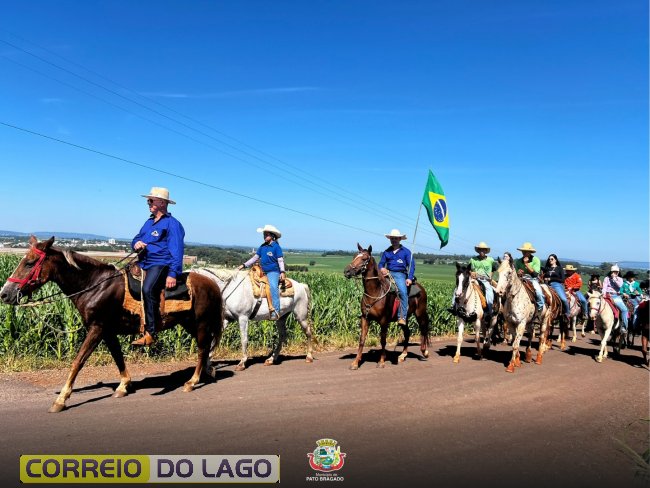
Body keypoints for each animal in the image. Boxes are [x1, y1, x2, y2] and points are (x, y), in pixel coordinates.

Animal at [0, 236, 223, 413]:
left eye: (30, 263)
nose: (5, 293)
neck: (94, 286)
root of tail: (212, 283)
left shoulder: (97, 328)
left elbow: (78, 361)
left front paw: (61, 399)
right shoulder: (107, 331)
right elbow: (118, 357)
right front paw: (123, 386)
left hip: (201, 323)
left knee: (202, 349)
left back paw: (192, 382)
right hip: (189, 324)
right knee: (206, 348)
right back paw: (208, 372)